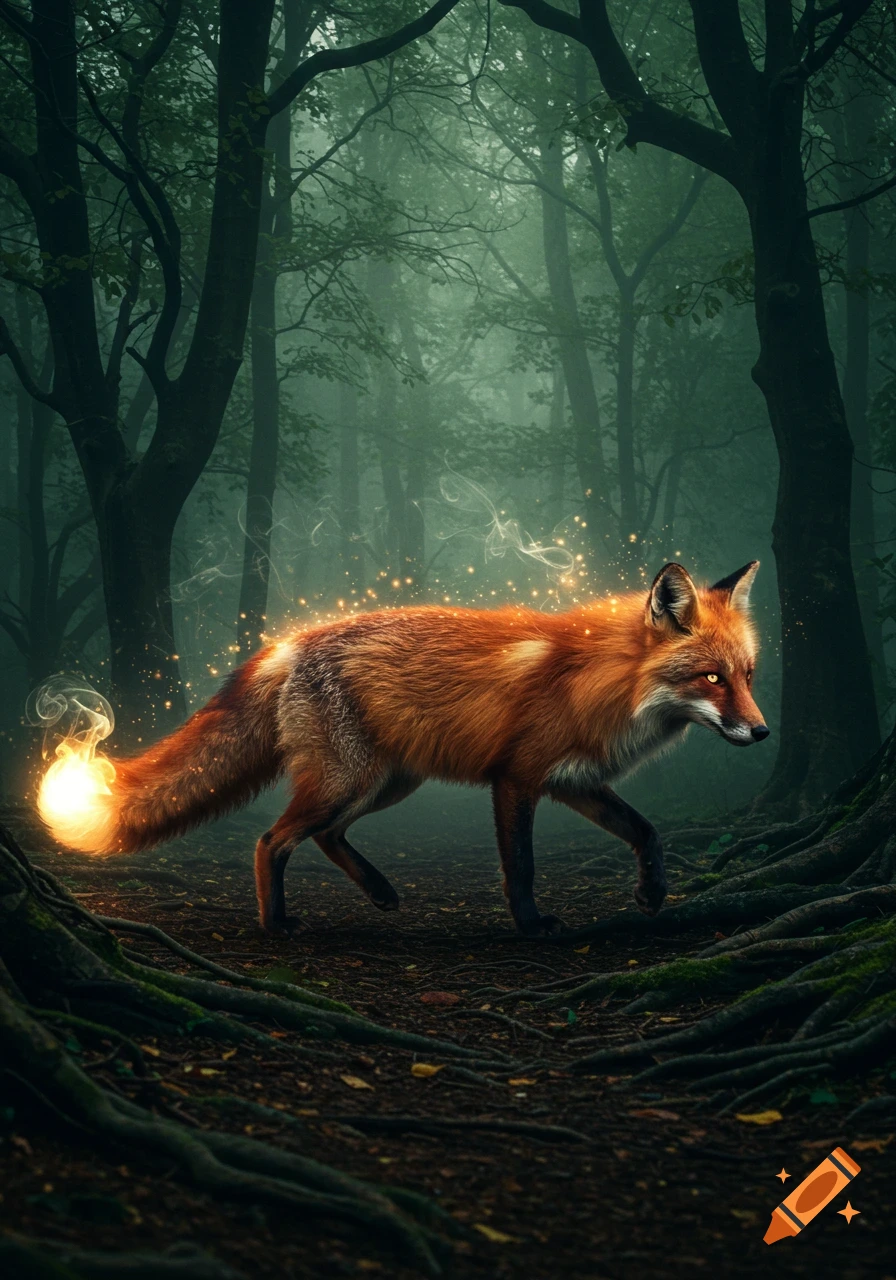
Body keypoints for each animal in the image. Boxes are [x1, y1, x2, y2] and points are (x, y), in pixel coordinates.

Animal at [40, 561, 768, 936]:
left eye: (749, 675)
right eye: (711, 678)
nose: (763, 733)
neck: (601, 679)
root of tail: (289, 642)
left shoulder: (574, 781)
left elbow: (646, 831)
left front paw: (653, 892)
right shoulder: (517, 779)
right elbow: (521, 866)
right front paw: (531, 926)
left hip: (387, 783)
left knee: (326, 835)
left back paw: (381, 892)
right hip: (350, 780)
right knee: (271, 840)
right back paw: (277, 923)